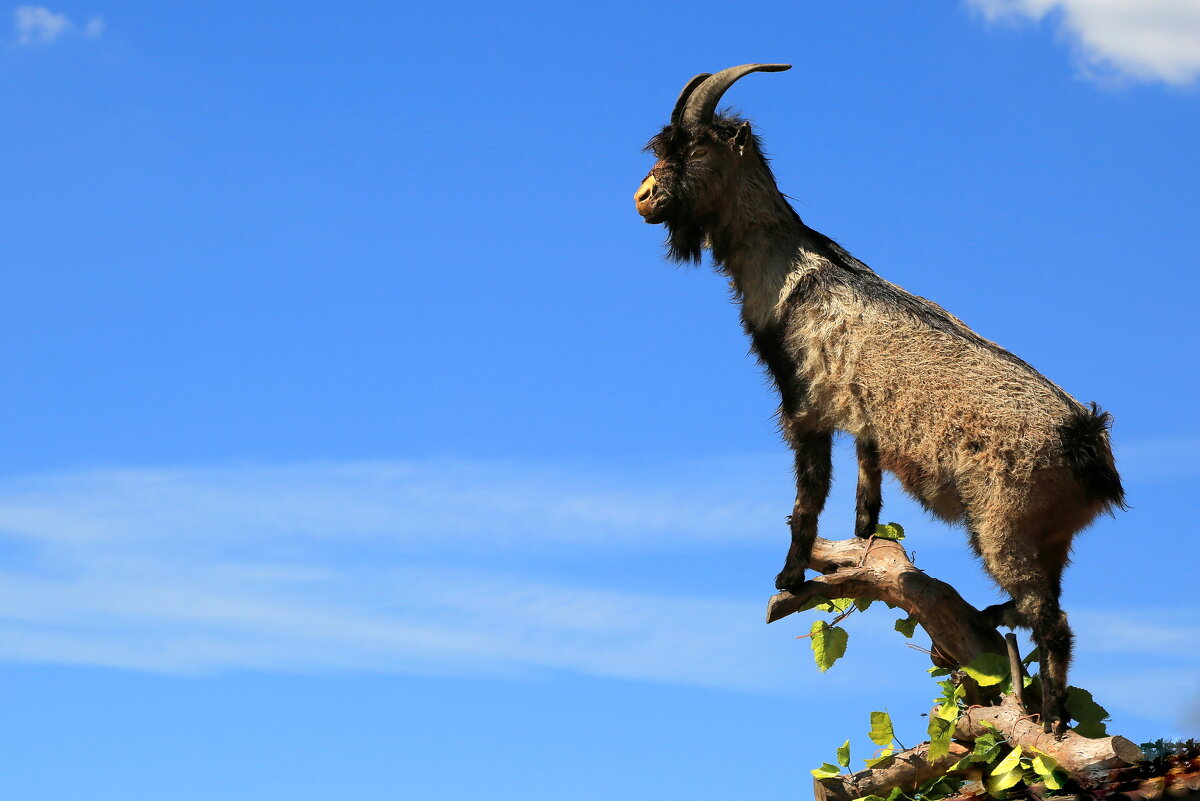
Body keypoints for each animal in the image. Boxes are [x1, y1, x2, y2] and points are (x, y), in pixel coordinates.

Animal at [638, 64, 1123, 738]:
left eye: (694, 148)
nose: (643, 196)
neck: (795, 271)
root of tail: (1088, 443)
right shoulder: (865, 420)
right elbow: (866, 485)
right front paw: (863, 543)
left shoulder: (807, 403)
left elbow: (808, 498)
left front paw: (789, 576)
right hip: (1050, 539)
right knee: (1045, 609)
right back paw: (1000, 627)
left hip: (1004, 525)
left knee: (1053, 624)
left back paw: (1048, 719)